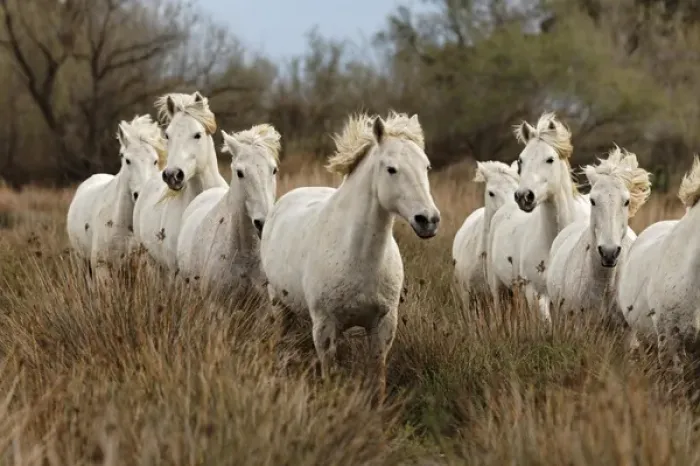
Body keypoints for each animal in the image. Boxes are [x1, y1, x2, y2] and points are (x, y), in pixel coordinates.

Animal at [259, 111, 440, 403]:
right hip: (278, 304)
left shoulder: (383, 326)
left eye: (426, 167)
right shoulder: (325, 328)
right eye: (391, 169)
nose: (428, 220)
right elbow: (330, 376)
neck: (357, 256)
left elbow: (377, 377)